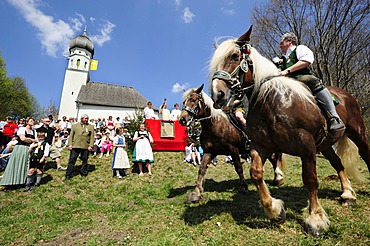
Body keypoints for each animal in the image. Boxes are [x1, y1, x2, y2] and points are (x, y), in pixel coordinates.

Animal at [210, 25, 368, 236]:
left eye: (235, 56)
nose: (217, 95)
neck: (272, 101)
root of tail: (346, 95)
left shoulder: (306, 146)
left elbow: (310, 179)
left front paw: (315, 219)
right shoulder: (260, 146)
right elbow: (256, 173)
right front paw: (274, 210)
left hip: (357, 133)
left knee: (365, 154)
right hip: (326, 145)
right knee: (338, 163)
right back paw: (347, 194)